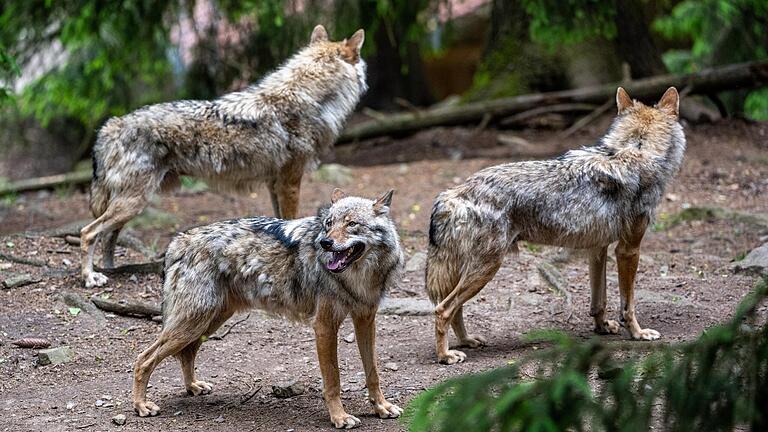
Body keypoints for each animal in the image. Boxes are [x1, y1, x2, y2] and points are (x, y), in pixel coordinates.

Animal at [79, 22, 368, 286]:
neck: (308, 98)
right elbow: (290, 221)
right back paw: (91, 277)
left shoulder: (274, 183)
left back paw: (110, 270)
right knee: (88, 232)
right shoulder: (290, 181)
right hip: (133, 202)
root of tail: (110, 125)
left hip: (130, 204)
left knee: (108, 237)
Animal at [133, 188, 404, 428]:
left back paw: (193, 387)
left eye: (352, 224)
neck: (359, 278)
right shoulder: (324, 326)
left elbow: (373, 372)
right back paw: (141, 405)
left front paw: (381, 407)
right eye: (328, 224)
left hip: (207, 323)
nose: (325, 243)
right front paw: (339, 417)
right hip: (192, 323)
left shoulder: (366, 320)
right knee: (144, 358)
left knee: (187, 353)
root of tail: (177, 241)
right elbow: (333, 379)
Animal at [426, 86, 684, 362]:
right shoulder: (628, 250)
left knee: (455, 308)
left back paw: (466, 342)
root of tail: (452, 194)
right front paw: (638, 334)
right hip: (486, 268)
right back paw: (445, 356)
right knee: (443, 309)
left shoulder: (598, 249)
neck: (637, 149)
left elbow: (599, 302)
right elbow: (628, 304)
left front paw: (602, 328)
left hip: (473, 271)